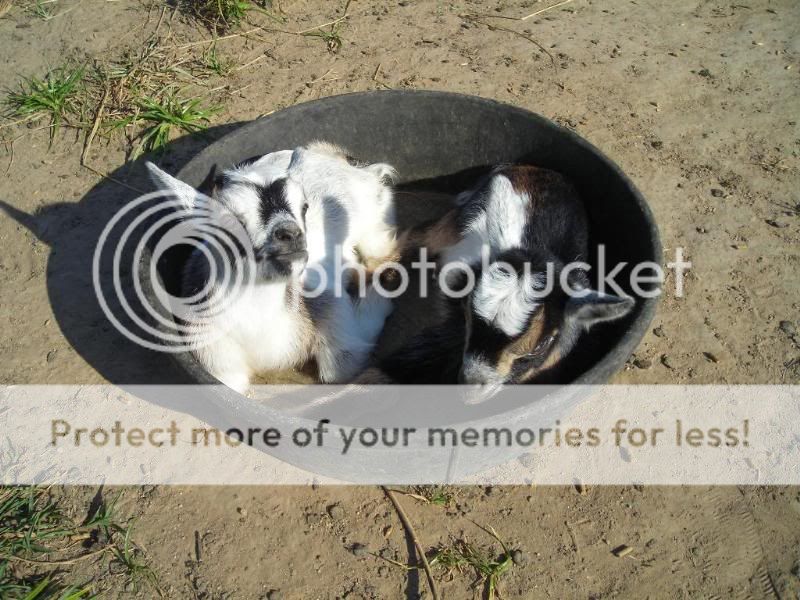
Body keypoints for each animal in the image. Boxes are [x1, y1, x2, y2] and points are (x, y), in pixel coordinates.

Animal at [145, 142, 398, 393]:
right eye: (231, 220)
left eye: (304, 206)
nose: (291, 234)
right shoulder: (214, 357)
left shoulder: (333, 314)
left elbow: (340, 368)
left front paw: (377, 298)